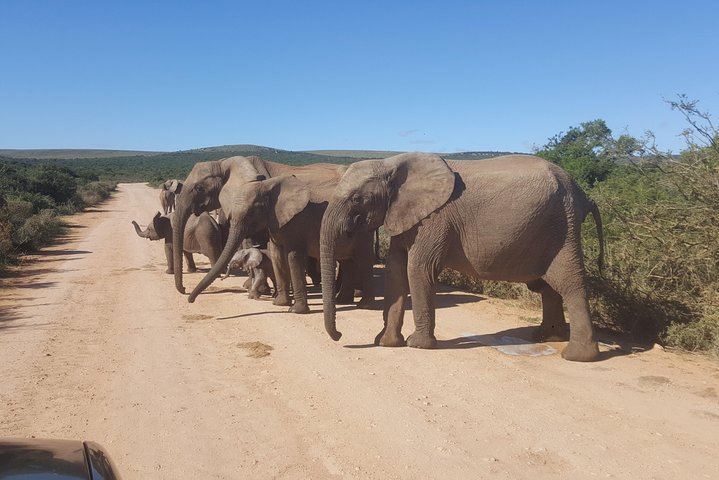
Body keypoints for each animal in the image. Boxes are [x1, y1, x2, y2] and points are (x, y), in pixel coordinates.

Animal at [318, 152, 604, 362]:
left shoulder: (435, 219)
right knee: (548, 287)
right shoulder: (405, 214)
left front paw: (417, 345)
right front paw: (386, 343)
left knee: (569, 283)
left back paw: (577, 356)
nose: (340, 335)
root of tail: (581, 192)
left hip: (563, 227)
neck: (392, 163)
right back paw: (546, 338)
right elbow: (395, 269)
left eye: (357, 198)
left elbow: (417, 269)